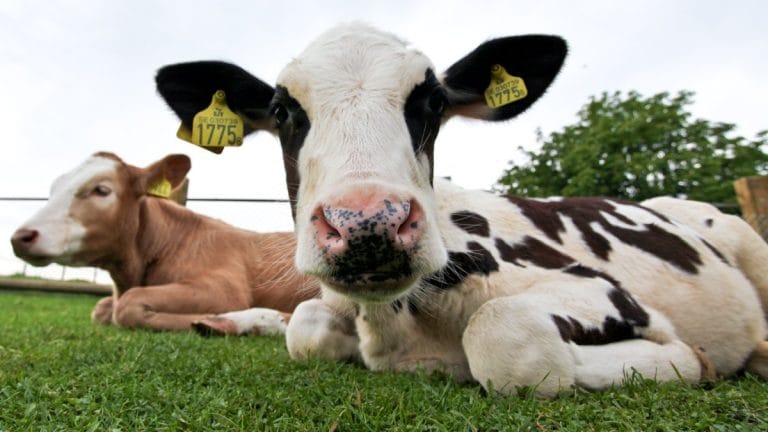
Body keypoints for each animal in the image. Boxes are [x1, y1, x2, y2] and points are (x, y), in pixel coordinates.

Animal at [11, 152, 318, 334]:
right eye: (53, 189)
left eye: (101, 190)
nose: (20, 237)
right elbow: (101, 309)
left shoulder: (226, 288)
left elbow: (127, 307)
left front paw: (216, 320)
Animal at [154, 23, 768, 397]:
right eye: (282, 111)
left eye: (433, 101)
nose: (369, 222)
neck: (397, 327)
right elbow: (304, 330)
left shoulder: (603, 290)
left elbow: (503, 340)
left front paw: (693, 361)